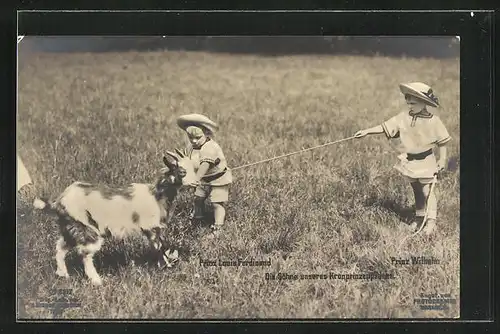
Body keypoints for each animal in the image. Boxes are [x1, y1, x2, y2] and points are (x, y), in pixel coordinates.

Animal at [32, 151, 196, 284]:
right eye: (182, 172)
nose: (196, 182)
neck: (157, 194)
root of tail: (59, 201)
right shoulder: (151, 227)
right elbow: (159, 247)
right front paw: (166, 267)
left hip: (72, 227)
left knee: (60, 247)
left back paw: (63, 275)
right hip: (87, 229)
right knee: (85, 254)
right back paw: (97, 281)